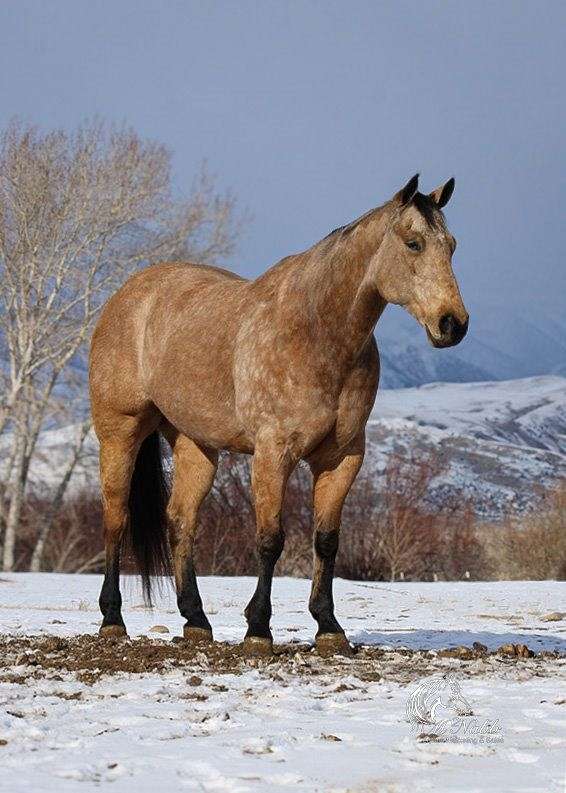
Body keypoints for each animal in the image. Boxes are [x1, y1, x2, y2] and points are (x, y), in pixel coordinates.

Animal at [89, 176, 470, 652]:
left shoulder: (342, 458)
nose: (453, 324)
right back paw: (112, 619)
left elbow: (326, 541)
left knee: (180, 522)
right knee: (115, 518)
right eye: (413, 243)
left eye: (451, 246)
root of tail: (128, 295)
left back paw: (196, 621)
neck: (317, 334)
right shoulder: (273, 455)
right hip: (120, 433)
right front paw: (258, 629)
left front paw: (328, 626)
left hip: (195, 445)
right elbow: (270, 540)